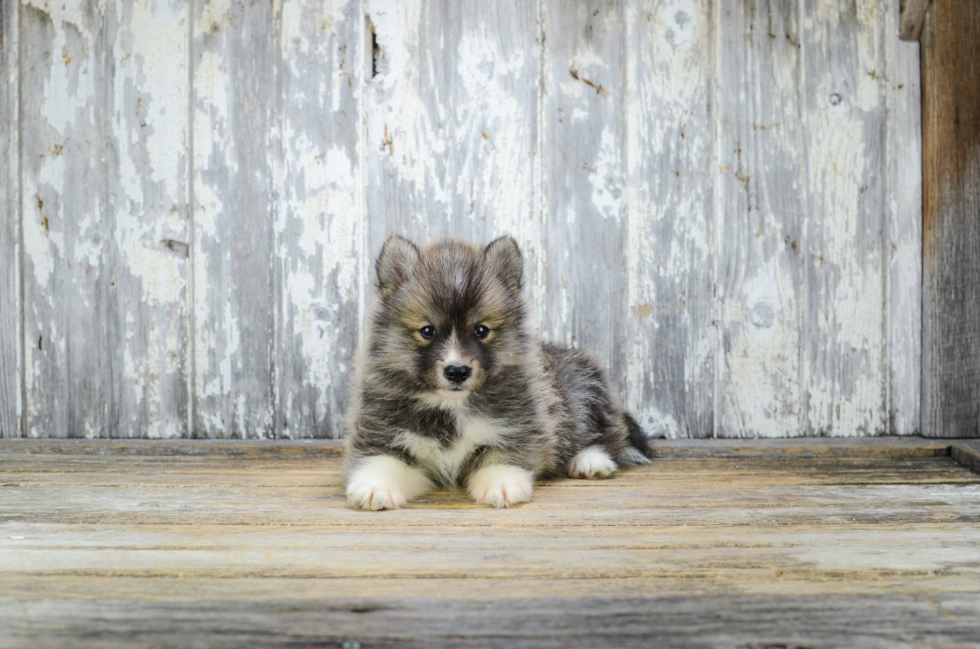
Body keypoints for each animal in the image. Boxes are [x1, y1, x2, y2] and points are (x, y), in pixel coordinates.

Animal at [344, 235, 652, 508]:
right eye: (427, 331)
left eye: (481, 330)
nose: (457, 371)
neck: (450, 407)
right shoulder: (385, 433)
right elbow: (383, 460)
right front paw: (375, 487)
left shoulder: (516, 429)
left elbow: (500, 457)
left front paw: (502, 484)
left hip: (584, 386)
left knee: (610, 433)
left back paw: (590, 460)